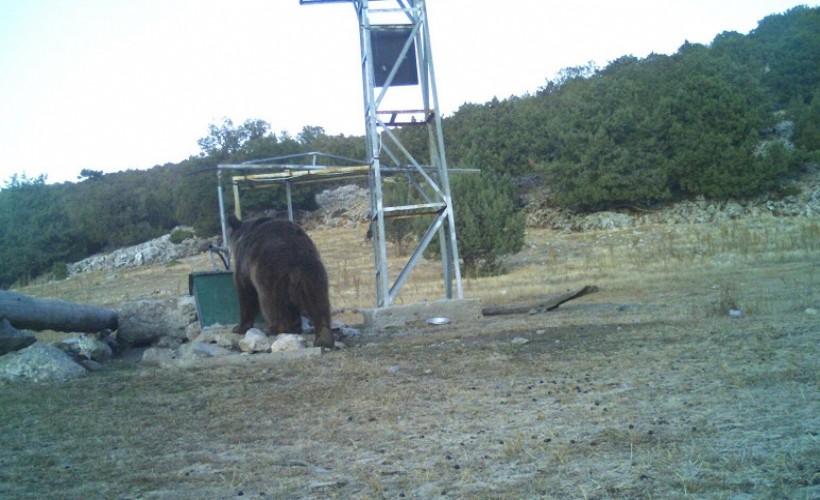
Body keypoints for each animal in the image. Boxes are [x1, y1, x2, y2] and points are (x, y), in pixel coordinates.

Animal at [226, 214, 334, 348]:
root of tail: (295, 251)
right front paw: (295, 326)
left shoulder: (244, 266)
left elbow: (246, 293)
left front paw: (239, 327)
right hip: (312, 273)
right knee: (318, 302)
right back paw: (324, 336)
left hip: (269, 273)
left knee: (270, 302)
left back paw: (272, 328)